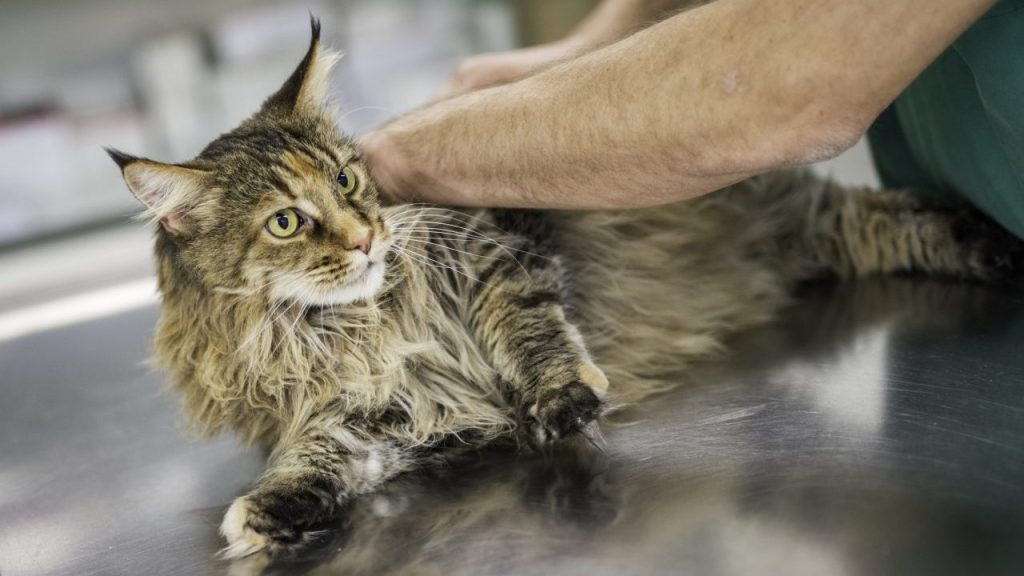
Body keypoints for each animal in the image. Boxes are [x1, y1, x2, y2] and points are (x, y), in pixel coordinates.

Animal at [108, 20, 1019, 553]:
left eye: (346, 178)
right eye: (286, 223)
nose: (366, 236)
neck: (347, 326)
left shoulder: (500, 249)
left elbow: (532, 329)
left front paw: (562, 397)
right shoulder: (367, 413)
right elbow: (315, 457)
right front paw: (272, 510)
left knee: (880, 213)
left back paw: (989, 240)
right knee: (862, 223)